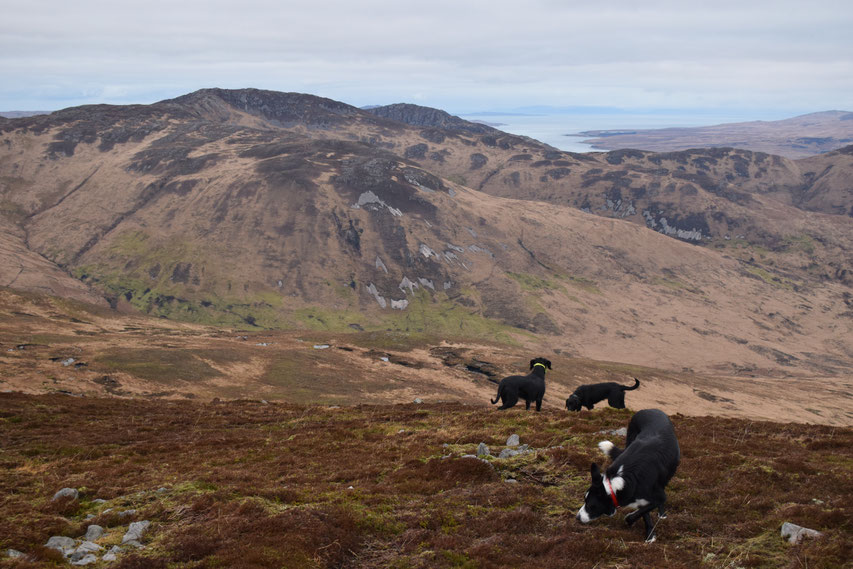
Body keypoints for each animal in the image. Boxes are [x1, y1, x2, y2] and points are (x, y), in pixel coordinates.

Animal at [576, 408, 684, 540]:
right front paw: (649, 532)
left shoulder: (658, 496)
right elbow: (644, 512)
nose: (577, 517)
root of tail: (650, 409)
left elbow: (644, 509)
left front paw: (638, 525)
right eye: (584, 500)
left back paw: (662, 514)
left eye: (591, 505)